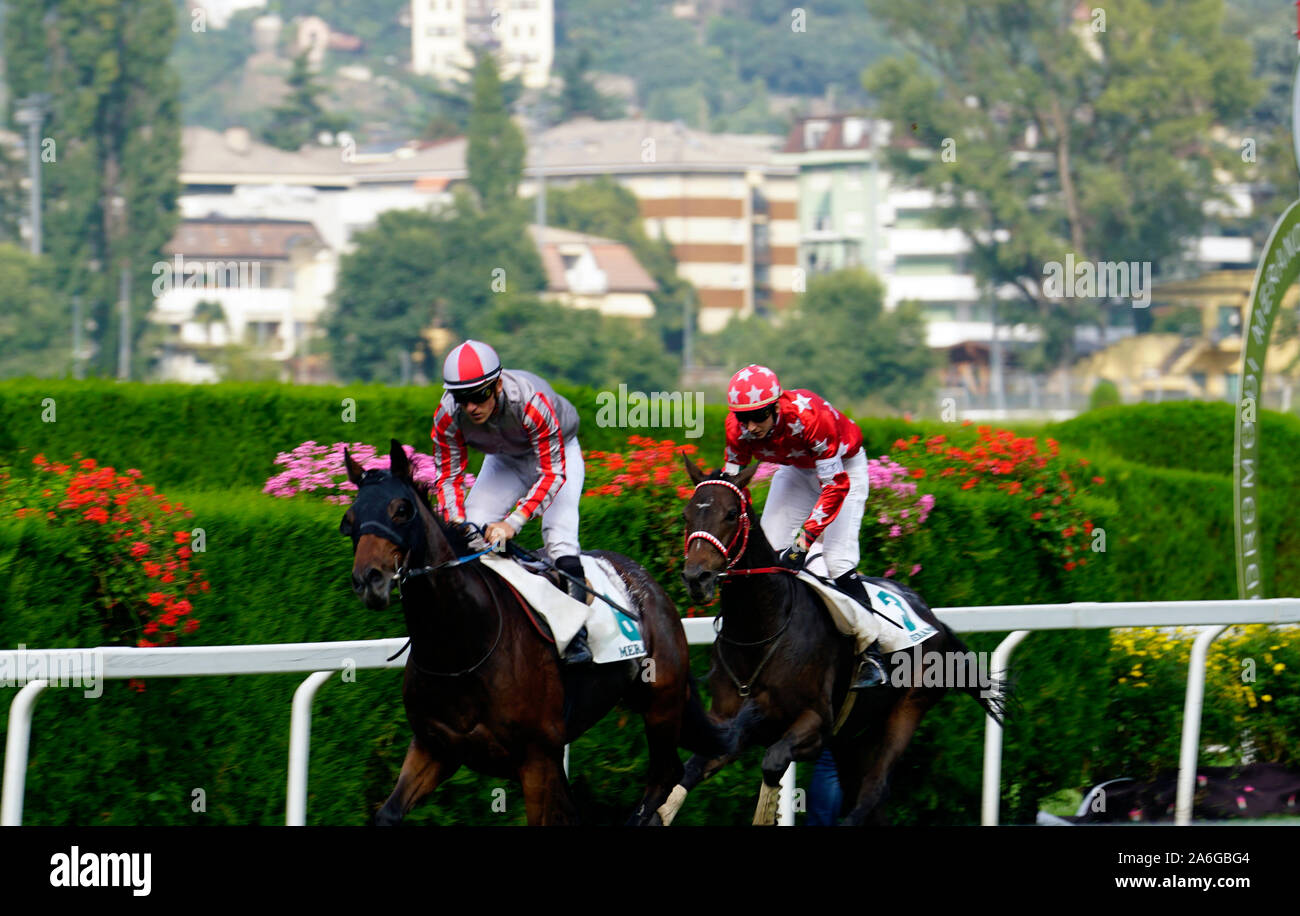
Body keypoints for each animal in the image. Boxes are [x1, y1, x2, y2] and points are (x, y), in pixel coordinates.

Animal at [340, 439, 728, 826]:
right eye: (350, 520)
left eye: (401, 510)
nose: (368, 580)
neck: (461, 649)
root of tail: (646, 581)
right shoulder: (434, 747)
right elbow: (387, 814)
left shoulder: (537, 759)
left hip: (662, 703)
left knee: (665, 775)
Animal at [655, 459, 1008, 826]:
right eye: (686, 514)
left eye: (730, 514)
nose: (697, 578)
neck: (760, 631)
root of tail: (933, 618)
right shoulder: (731, 724)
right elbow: (688, 774)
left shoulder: (816, 724)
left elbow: (773, 762)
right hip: (852, 739)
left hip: (906, 710)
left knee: (873, 791)